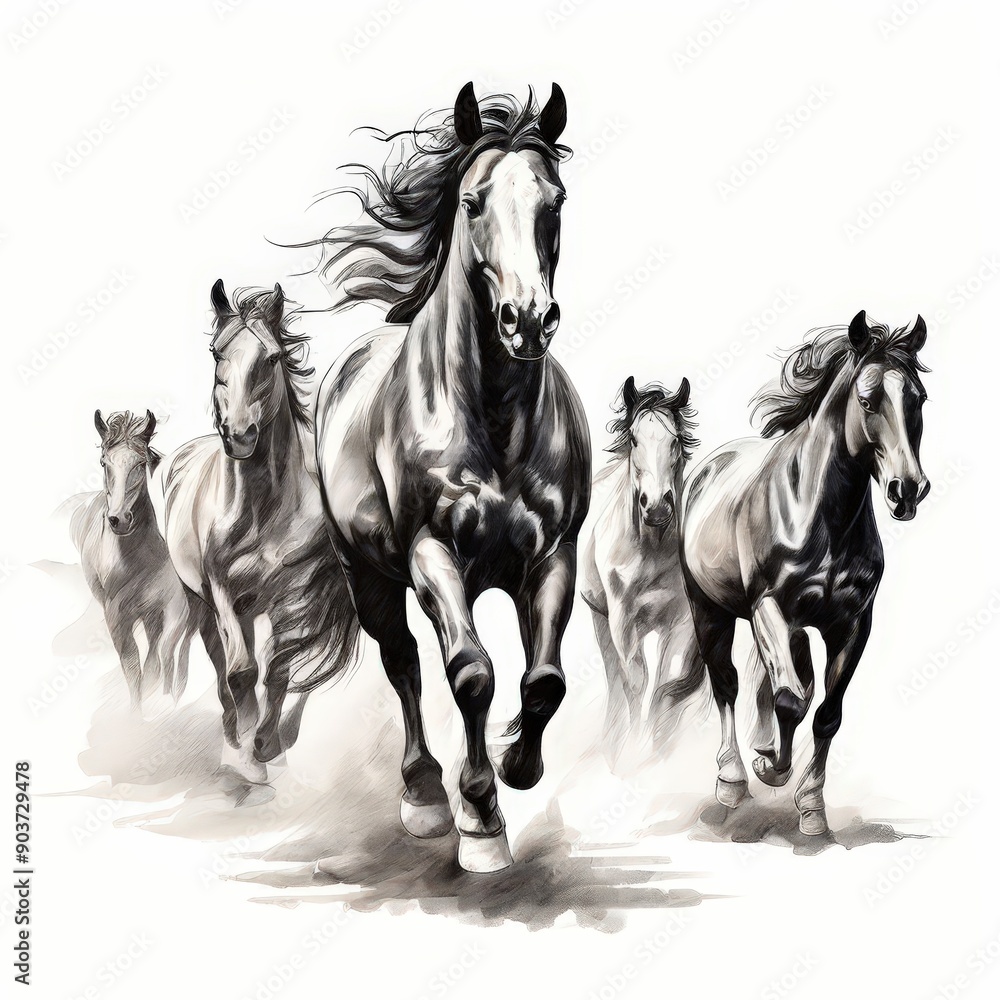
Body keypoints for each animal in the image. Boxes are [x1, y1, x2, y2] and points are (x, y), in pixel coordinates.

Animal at [72, 410, 195, 711]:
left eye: (140, 462)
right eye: (104, 462)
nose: (119, 519)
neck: (137, 561)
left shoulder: (174, 608)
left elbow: (165, 653)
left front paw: (165, 701)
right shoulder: (117, 618)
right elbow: (132, 667)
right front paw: (136, 716)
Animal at [155, 281, 359, 784]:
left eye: (271, 358)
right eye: (216, 353)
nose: (240, 434)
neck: (259, 510)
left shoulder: (294, 592)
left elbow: (279, 669)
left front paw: (267, 744)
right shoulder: (223, 591)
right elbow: (241, 671)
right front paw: (248, 752)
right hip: (203, 602)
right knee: (220, 662)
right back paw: (233, 731)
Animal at [310, 83, 590, 872]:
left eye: (555, 199)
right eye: (473, 201)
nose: (527, 320)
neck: (490, 420)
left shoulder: (553, 556)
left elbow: (543, 681)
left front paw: (518, 763)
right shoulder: (433, 554)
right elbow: (471, 673)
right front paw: (480, 817)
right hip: (368, 575)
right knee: (404, 663)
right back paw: (424, 794)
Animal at [580, 376, 705, 767]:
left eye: (675, 440)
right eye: (635, 439)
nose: (656, 507)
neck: (651, 550)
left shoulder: (681, 622)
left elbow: (667, 682)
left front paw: (660, 750)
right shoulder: (622, 620)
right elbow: (635, 681)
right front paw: (632, 751)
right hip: (600, 618)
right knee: (614, 680)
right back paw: (611, 743)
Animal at [679, 311, 930, 836]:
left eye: (917, 398)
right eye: (867, 399)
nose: (907, 490)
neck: (822, 517)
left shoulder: (852, 625)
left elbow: (825, 713)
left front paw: (811, 806)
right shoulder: (768, 609)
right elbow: (789, 701)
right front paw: (769, 769)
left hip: (793, 631)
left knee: (791, 685)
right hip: (710, 610)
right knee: (728, 683)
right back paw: (733, 778)